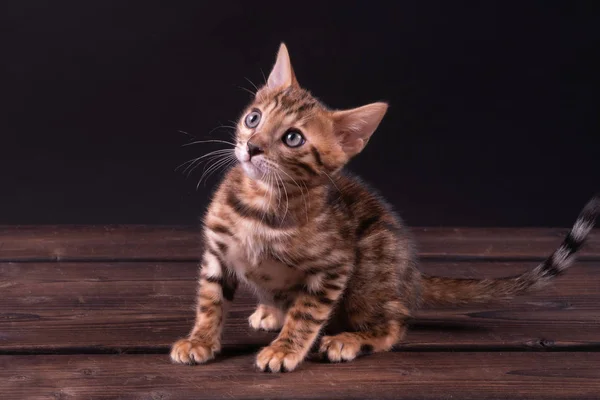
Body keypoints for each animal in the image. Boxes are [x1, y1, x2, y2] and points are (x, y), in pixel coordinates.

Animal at [170, 43, 600, 372]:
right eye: (253, 118)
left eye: (292, 138)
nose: (252, 146)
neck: (260, 203)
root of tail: (412, 278)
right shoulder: (218, 252)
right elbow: (210, 301)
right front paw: (200, 340)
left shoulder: (333, 267)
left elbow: (306, 313)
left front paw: (285, 349)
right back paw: (269, 312)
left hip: (369, 272)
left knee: (395, 324)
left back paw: (349, 339)